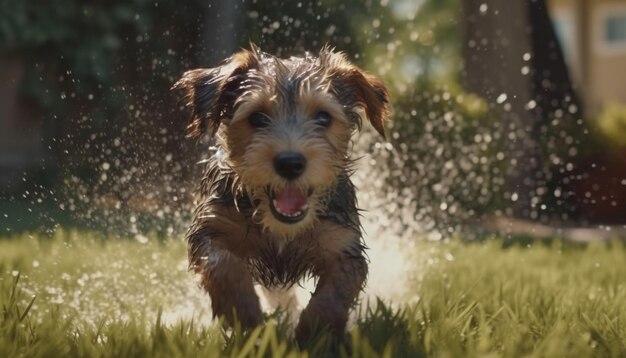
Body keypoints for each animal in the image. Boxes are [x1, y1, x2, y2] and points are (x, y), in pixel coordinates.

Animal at [173, 44, 388, 344]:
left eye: (323, 117)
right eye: (257, 118)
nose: (290, 163)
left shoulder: (341, 242)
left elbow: (335, 293)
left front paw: (314, 335)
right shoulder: (213, 225)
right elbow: (223, 264)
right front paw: (243, 313)